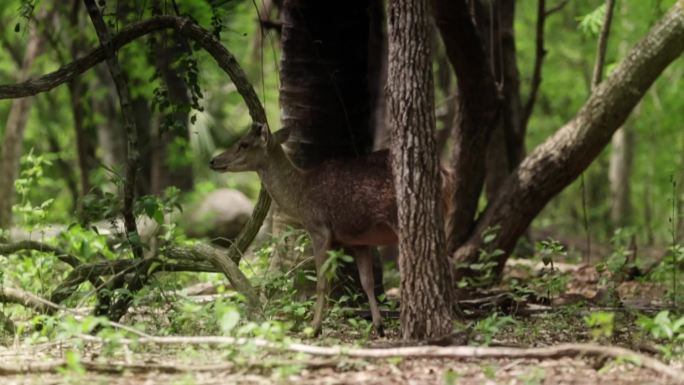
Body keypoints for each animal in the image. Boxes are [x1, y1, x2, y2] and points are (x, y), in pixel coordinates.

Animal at [211, 123, 452, 336]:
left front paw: (314, 328)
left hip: (398, 217)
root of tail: (445, 173)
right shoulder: (360, 240)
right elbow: (367, 282)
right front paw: (379, 327)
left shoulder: (319, 229)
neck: (299, 197)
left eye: (243, 143)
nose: (214, 160)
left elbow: (322, 283)